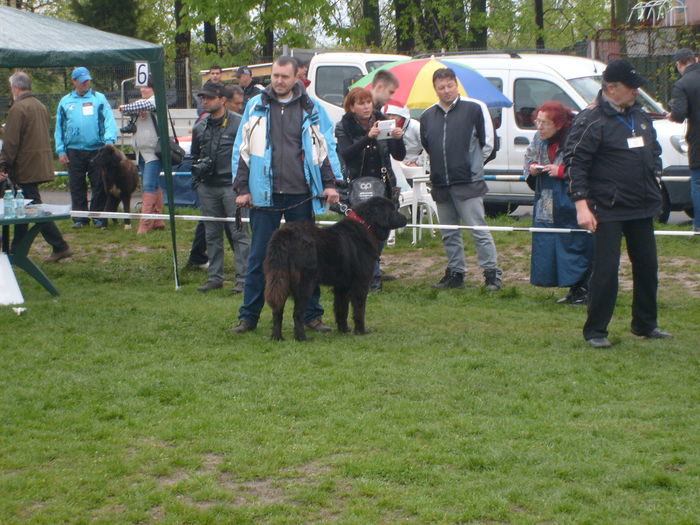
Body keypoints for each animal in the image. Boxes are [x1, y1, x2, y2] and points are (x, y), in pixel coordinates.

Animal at [264, 196, 408, 340]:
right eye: (393, 210)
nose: (406, 218)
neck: (365, 224)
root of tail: (285, 234)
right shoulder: (360, 282)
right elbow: (359, 309)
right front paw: (361, 331)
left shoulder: (342, 286)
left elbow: (341, 309)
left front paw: (343, 330)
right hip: (305, 284)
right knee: (297, 313)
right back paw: (302, 338)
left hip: (281, 280)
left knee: (277, 311)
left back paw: (277, 337)